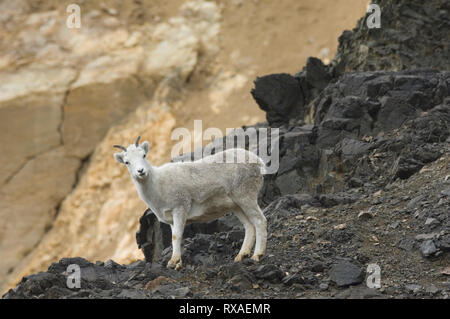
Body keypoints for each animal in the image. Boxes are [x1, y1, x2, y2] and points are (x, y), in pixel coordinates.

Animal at [114, 137, 268, 270]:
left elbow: (176, 236)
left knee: (260, 221)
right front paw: (178, 263)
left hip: (246, 197)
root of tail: (258, 161)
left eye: (144, 155)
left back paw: (256, 255)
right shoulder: (171, 219)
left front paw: (173, 262)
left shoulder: (180, 208)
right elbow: (174, 237)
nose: (141, 171)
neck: (158, 185)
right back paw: (241, 256)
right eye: (127, 162)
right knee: (249, 226)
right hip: (237, 206)